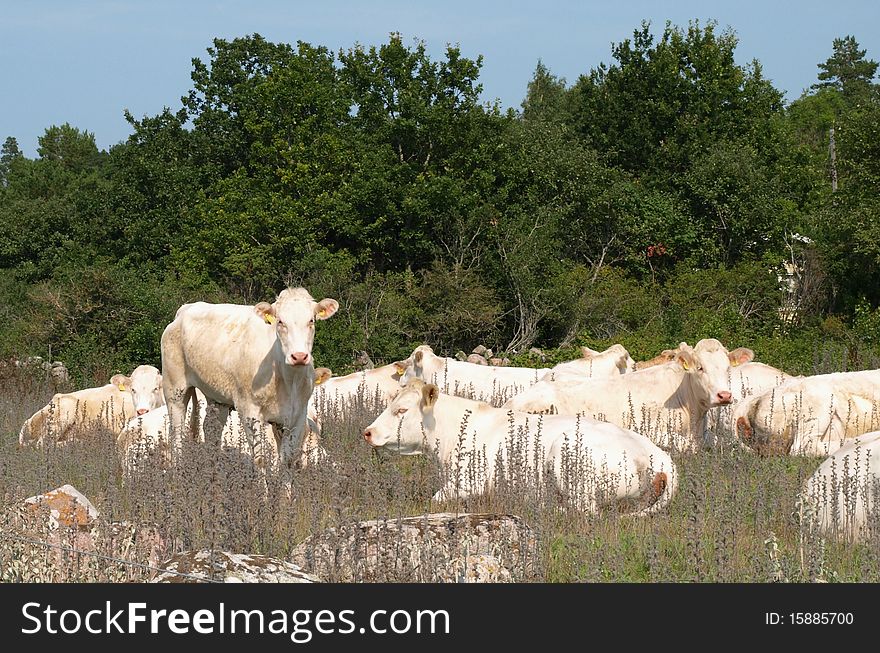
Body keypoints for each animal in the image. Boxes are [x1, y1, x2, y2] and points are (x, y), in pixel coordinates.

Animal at [160, 288, 338, 466]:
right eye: (280, 322)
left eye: (311, 321)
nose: (299, 356)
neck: (288, 379)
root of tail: (186, 308)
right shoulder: (249, 410)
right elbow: (260, 459)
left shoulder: (297, 415)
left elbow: (286, 459)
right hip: (174, 390)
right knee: (177, 434)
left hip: (217, 399)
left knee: (211, 430)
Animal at [360, 376, 676, 516]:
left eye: (401, 410)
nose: (368, 432)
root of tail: (661, 459)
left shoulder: (470, 481)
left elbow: (435, 500)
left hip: (567, 464)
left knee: (584, 511)